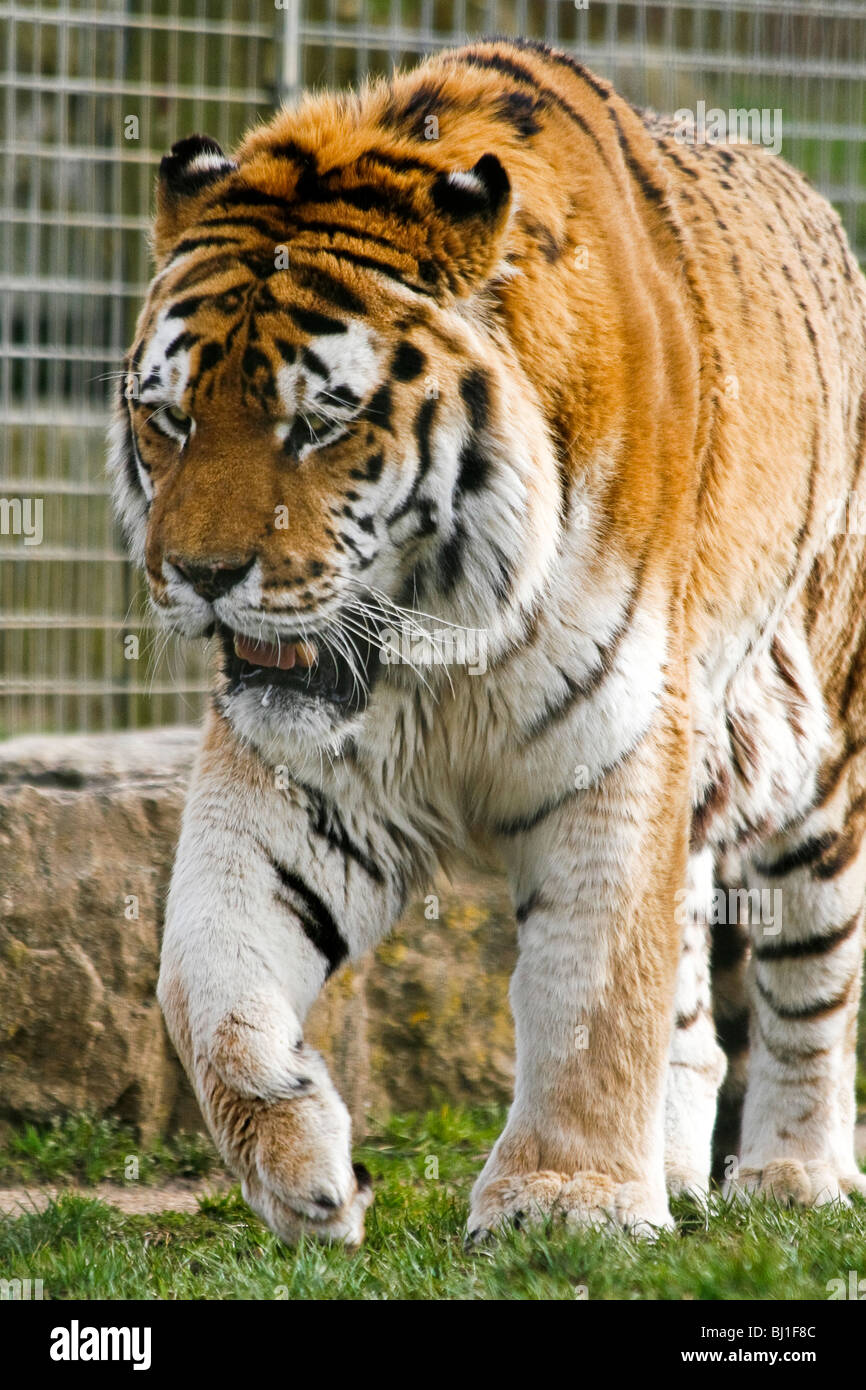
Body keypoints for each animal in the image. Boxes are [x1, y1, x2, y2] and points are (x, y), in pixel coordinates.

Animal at [108, 38, 866, 1245]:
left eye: (315, 425)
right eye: (170, 417)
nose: (201, 578)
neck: (437, 639)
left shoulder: (617, 748)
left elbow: (592, 990)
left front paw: (567, 1203)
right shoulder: (302, 773)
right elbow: (202, 976)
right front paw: (304, 1168)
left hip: (813, 748)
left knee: (815, 976)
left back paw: (795, 1172)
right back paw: (679, 1168)